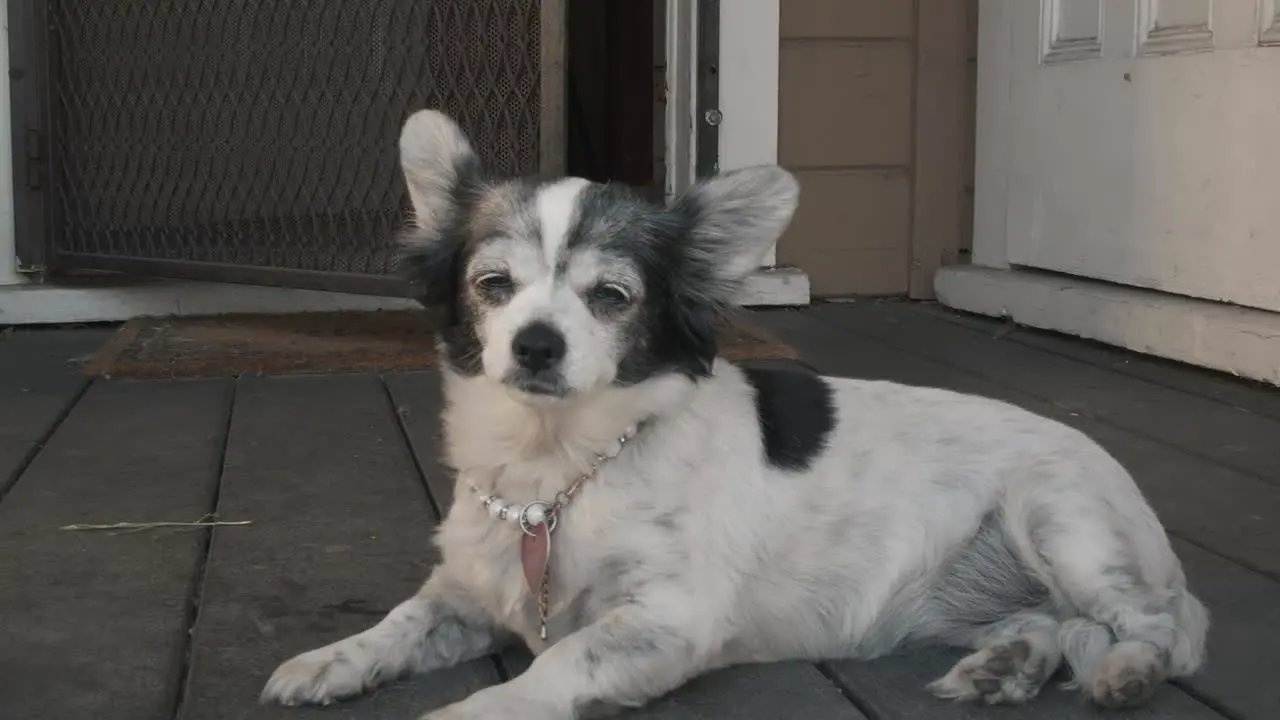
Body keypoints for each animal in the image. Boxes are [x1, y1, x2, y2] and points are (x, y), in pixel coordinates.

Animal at [259, 109, 1208, 712]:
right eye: (493, 285)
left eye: (611, 297)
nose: (534, 345)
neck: (557, 472)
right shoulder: (465, 590)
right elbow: (395, 624)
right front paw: (328, 660)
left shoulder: (663, 622)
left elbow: (546, 671)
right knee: (1052, 623)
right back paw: (1006, 666)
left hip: (1060, 516)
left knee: (1159, 627)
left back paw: (1125, 671)